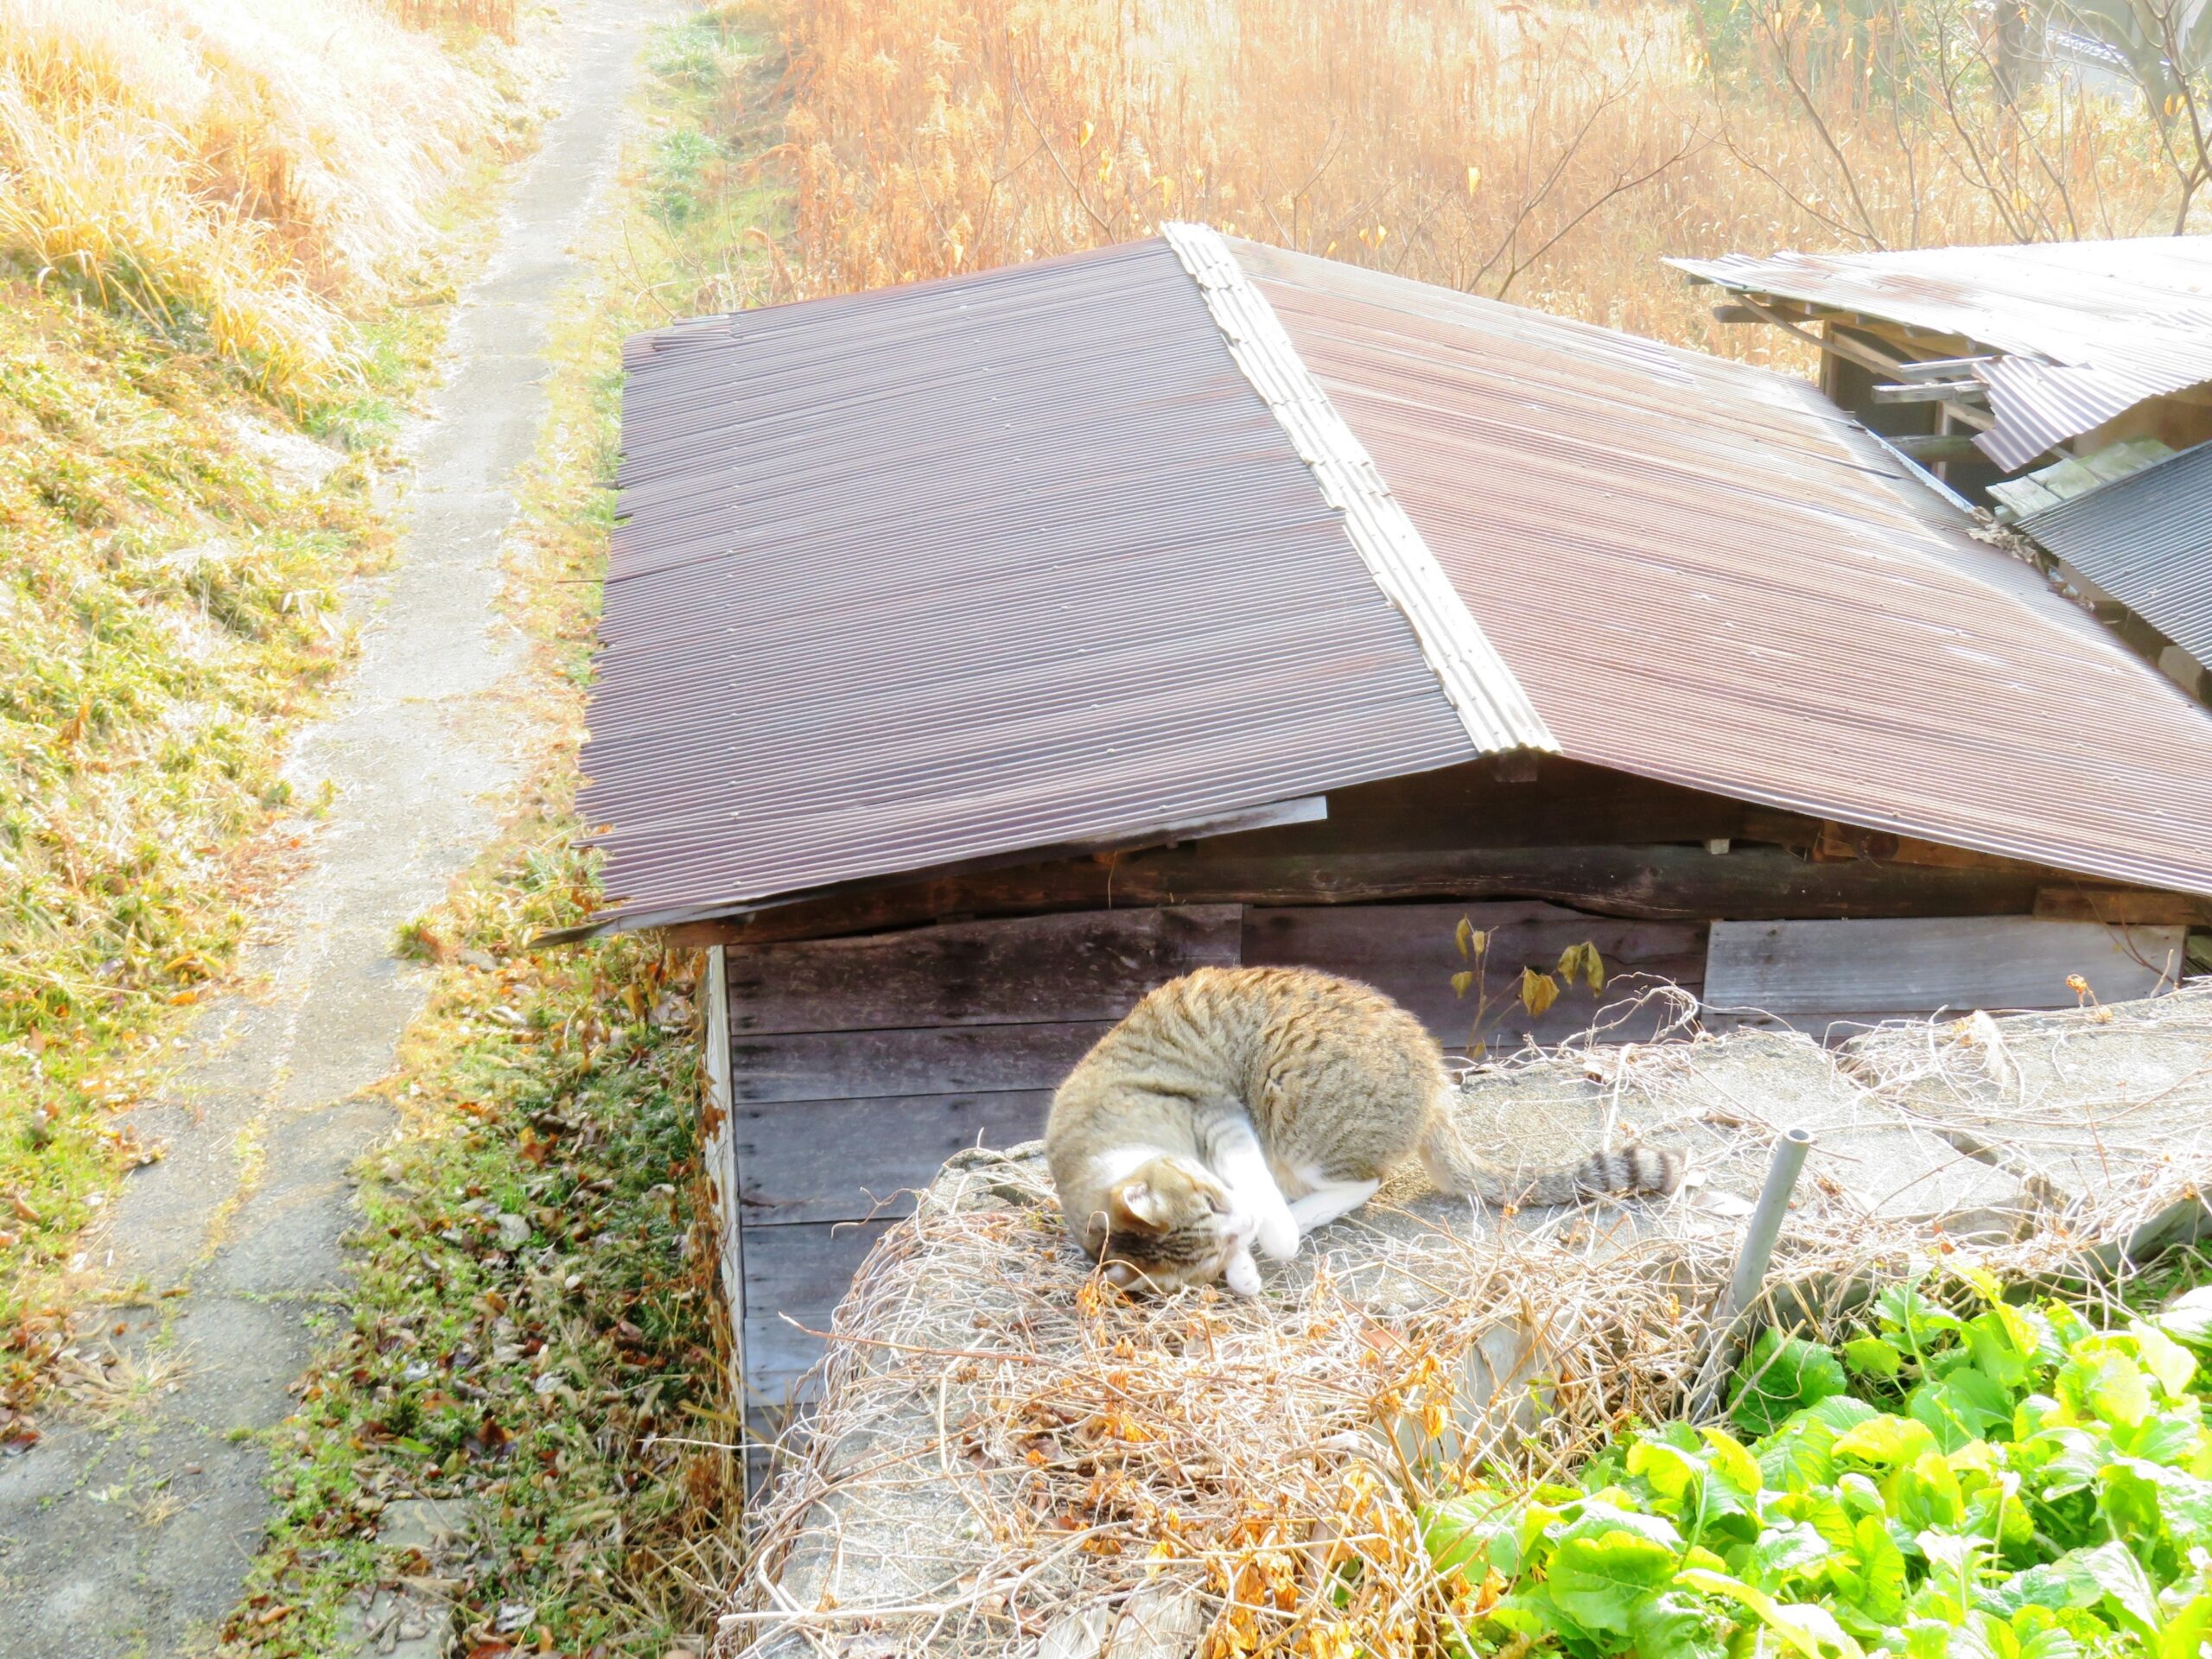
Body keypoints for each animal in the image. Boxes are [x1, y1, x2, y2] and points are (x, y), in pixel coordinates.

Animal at [1044, 969, 1681, 1309]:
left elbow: (1262, 1201)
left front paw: (1270, 1239)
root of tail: (1437, 1087)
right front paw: (1243, 1270)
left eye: (1210, 1201)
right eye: (1213, 1243)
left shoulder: (1219, 1116)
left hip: (1290, 1104)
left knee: (1364, 1181)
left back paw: (1301, 1213)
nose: (1240, 1227)